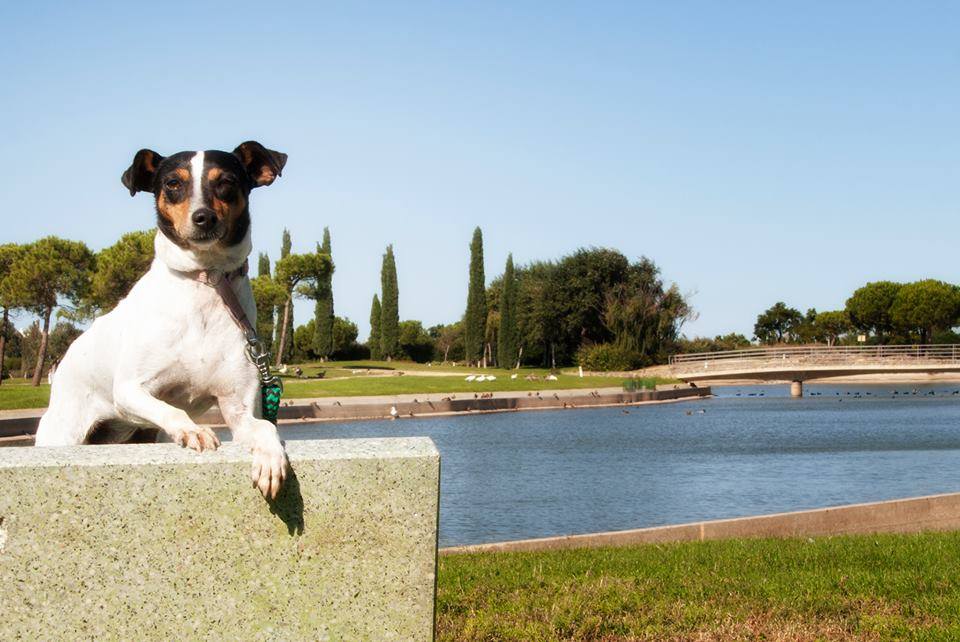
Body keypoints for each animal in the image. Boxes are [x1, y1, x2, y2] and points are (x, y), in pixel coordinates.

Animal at [35, 142, 288, 498]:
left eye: (226, 181)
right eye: (172, 183)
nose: (203, 217)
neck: (205, 280)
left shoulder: (238, 408)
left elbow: (264, 426)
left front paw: (270, 458)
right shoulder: (129, 390)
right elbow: (172, 408)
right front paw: (192, 430)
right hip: (65, 434)